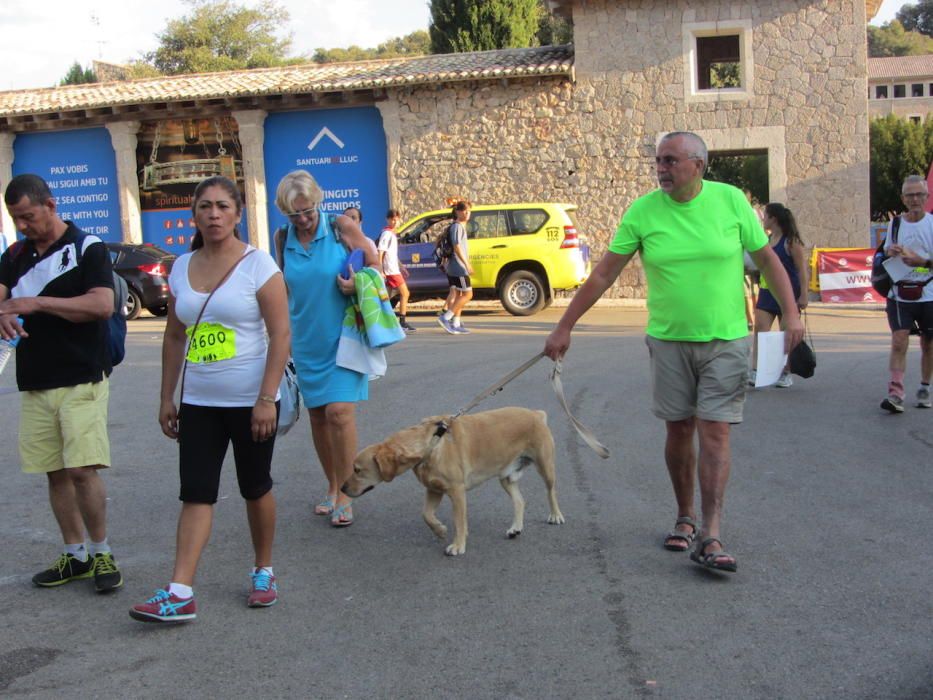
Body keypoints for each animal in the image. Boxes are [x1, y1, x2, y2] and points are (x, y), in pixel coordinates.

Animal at [342, 408, 560, 556]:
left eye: (357, 470)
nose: (342, 489)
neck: (430, 444)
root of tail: (535, 414)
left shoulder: (457, 492)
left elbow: (459, 521)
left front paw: (458, 544)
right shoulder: (434, 490)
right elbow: (426, 515)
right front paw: (439, 530)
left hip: (546, 468)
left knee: (551, 493)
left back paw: (555, 515)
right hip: (506, 477)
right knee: (520, 501)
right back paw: (515, 528)